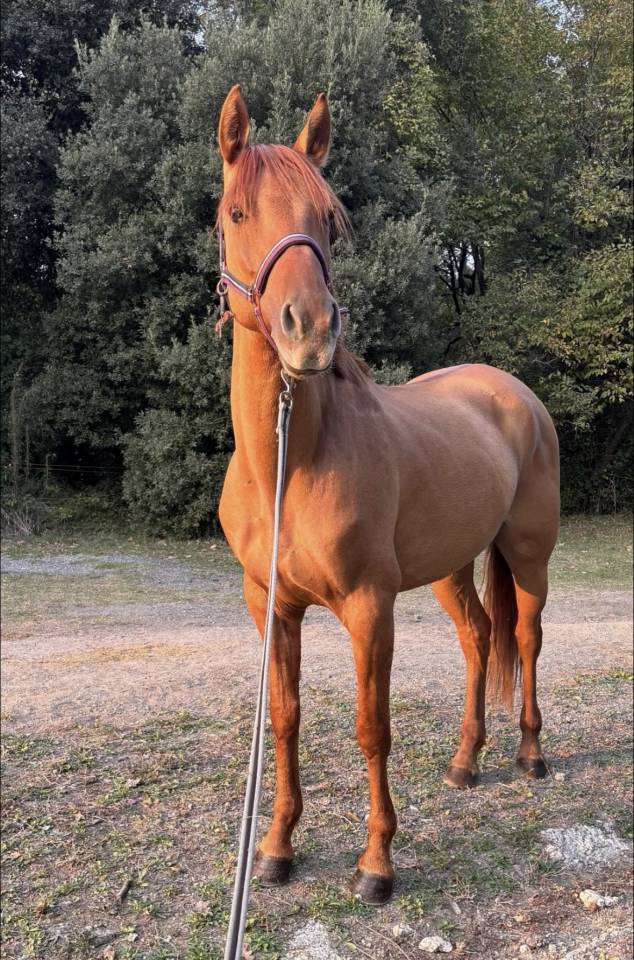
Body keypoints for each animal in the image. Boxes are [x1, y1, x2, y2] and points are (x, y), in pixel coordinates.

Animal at [216, 84, 560, 905]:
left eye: (326, 219)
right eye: (237, 213)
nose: (307, 330)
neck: (290, 465)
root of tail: (515, 394)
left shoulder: (369, 607)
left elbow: (372, 728)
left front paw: (377, 863)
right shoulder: (269, 604)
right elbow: (286, 718)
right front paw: (276, 847)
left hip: (529, 553)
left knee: (528, 636)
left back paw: (530, 754)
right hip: (450, 568)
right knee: (479, 638)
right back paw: (466, 762)